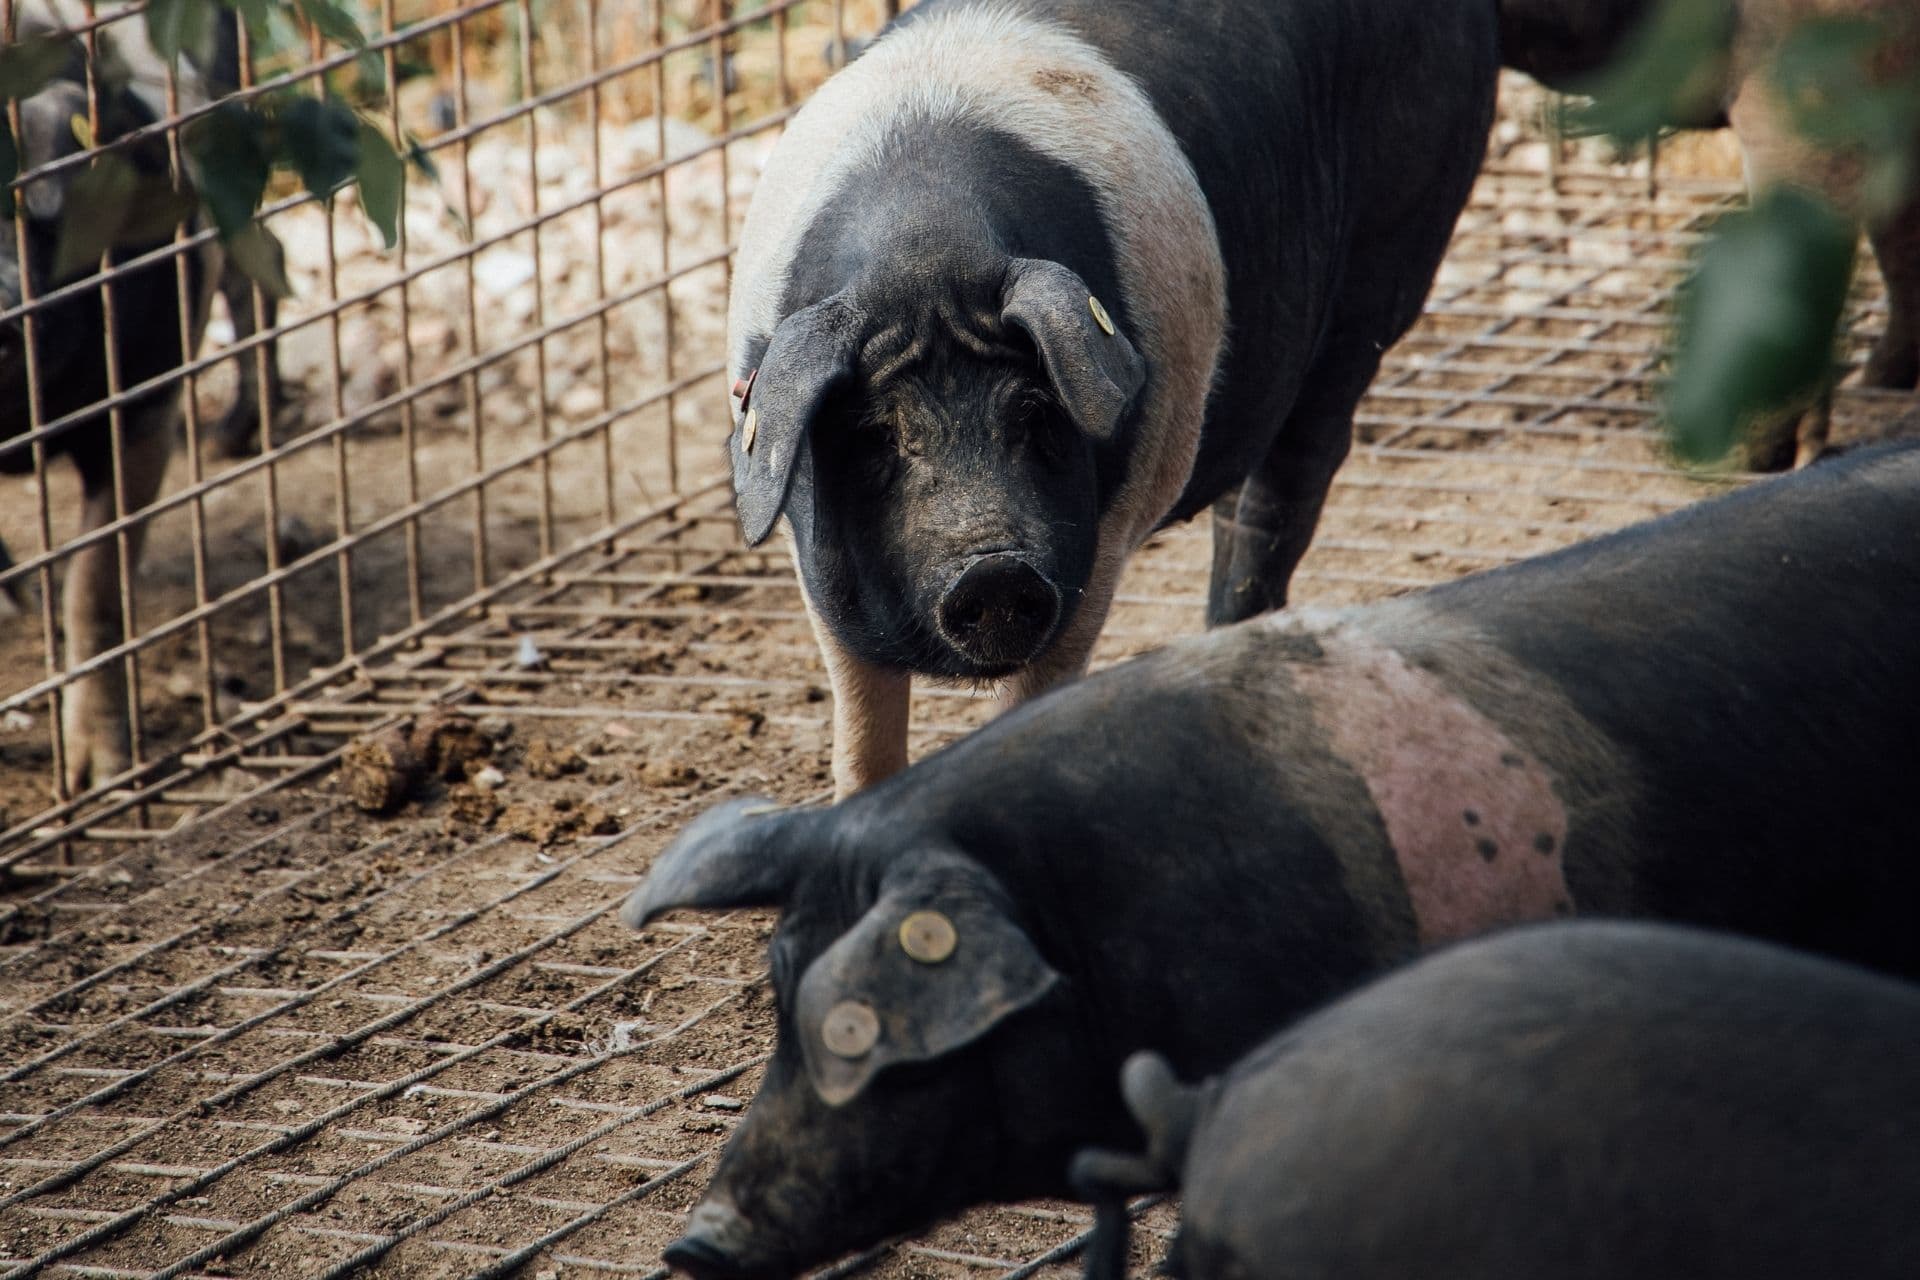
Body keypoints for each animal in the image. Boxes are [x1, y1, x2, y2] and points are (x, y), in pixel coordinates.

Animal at [0, 3, 282, 791]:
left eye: (39, 219)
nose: (2, 310)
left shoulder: (142, 406)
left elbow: (96, 587)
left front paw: (99, 778)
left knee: (260, 266)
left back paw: (234, 436)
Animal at [727, 0, 1500, 797]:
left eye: (1036, 412)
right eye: (878, 434)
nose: (992, 571)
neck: (923, 245)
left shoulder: (1096, 545)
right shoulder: (818, 563)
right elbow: (864, 736)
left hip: (1392, 244)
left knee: (1290, 476)